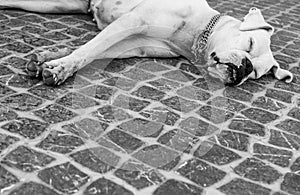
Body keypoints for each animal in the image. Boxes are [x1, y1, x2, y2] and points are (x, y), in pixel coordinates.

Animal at [0, 0, 292, 85]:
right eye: (250, 43)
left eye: (255, 74)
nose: (244, 68)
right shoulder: (132, 21)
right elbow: (88, 49)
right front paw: (61, 68)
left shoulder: (131, 44)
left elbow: (94, 51)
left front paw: (49, 61)